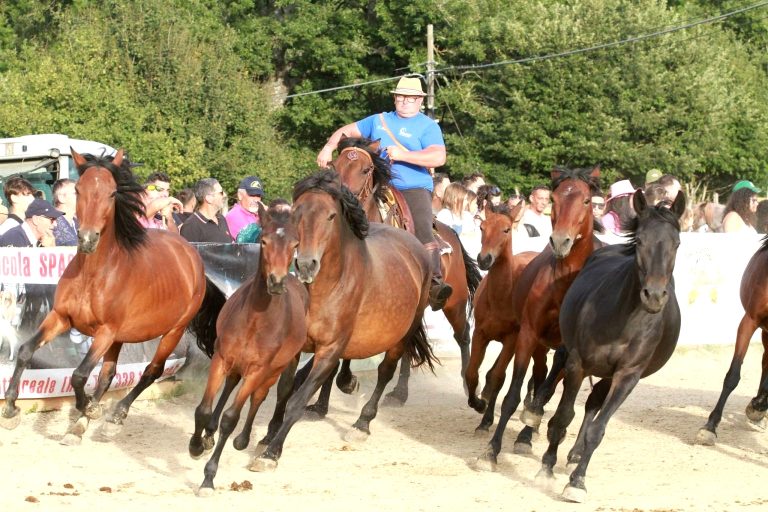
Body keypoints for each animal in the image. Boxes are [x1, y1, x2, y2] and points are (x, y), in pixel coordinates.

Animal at [0, 149, 216, 445]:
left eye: (113, 193)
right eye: (78, 190)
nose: (87, 238)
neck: (94, 275)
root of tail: (191, 254)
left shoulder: (105, 331)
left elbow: (79, 375)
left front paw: (90, 407)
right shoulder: (61, 317)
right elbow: (25, 351)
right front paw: (11, 410)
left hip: (173, 331)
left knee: (151, 371)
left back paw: (114, 418)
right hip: (120, 338)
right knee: (108, 374)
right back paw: (80, 426)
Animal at [188, 200, 309, 496]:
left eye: (295, 243)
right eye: (263, 241)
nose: (276, 281)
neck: (255, 319)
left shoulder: (258, 369)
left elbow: (232, 417)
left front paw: (208, 478)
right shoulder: (221, 358)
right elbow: (204, 409)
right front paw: (196, 444)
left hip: (278, 367)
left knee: (260, 396)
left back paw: (244, 439)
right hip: (235, 364)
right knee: (232, 384)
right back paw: (209, 433)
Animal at [249, 170, 437, 470]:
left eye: (330, 216)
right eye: (297, 214)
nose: (305, 265)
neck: (324, 289)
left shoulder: (328, 350)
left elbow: (298, 400)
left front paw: (272, 453)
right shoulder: (295, 348)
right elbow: (285, 390)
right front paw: (268, 436)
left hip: (402, 335)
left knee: (385, 371)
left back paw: (362, 423)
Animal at [474, 165, 602, 467]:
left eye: (587, 201)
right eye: (553, 199)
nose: (560, 241)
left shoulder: (566, 346)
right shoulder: (526, 334)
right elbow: (507, 389)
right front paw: (491, 445)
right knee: (538, 375)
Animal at [537, 190, 684, 503]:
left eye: (676, 243)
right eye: (639, 241)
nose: (654, 296)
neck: (624, 319)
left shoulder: (627, 375)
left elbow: (598, 428)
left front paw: (577, 481)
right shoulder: (579, 364)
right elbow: (563, 416)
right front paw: (546, 467)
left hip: (607, 374)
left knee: (593, 403)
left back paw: (576, 454)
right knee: (560, 367)